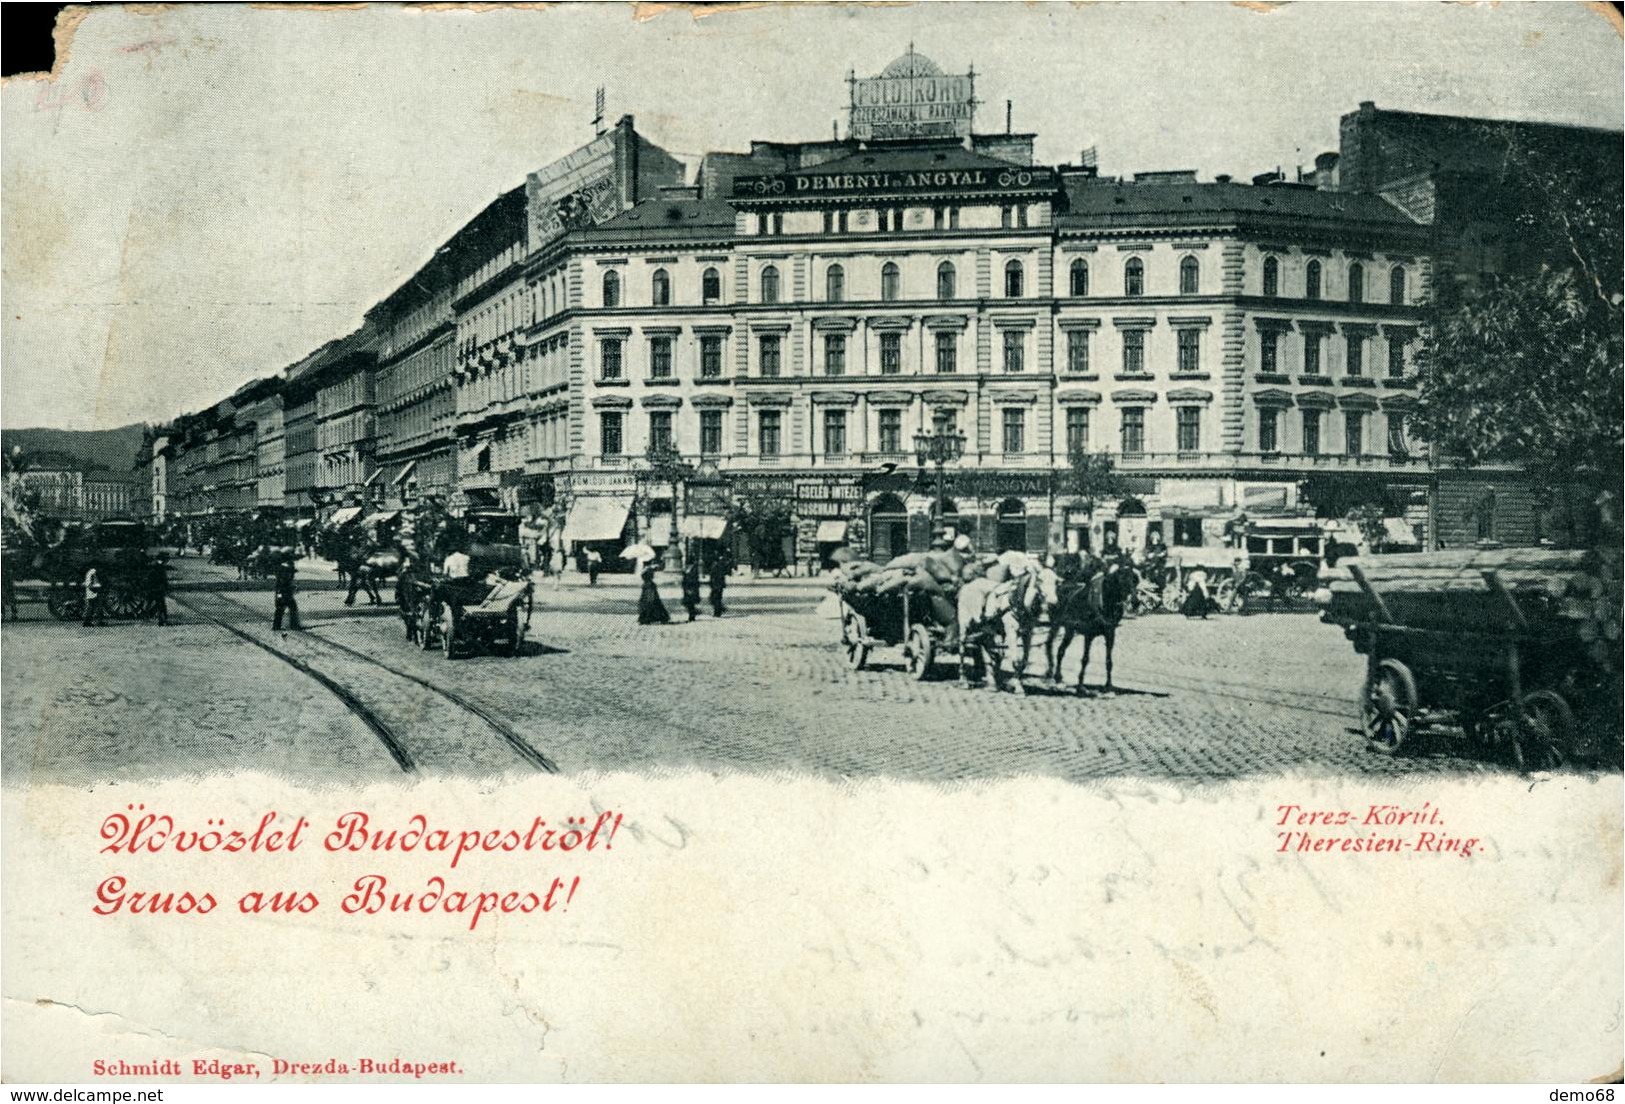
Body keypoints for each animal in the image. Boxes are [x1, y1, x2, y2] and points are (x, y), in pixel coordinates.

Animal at [1046, 565, 1137, 695]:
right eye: (1122, 581)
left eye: (1135, 580)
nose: (1135, 602)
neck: (1105, 602)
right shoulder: (1089, 634)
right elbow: (1085, 659)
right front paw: (1080, 686)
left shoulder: (1110, 634)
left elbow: (1109, 661)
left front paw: (1108, 686)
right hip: (1055, 624)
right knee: (1050, 644)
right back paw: (1051, 675)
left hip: (1069, 630)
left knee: (1061, 650)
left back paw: (1058, 678)